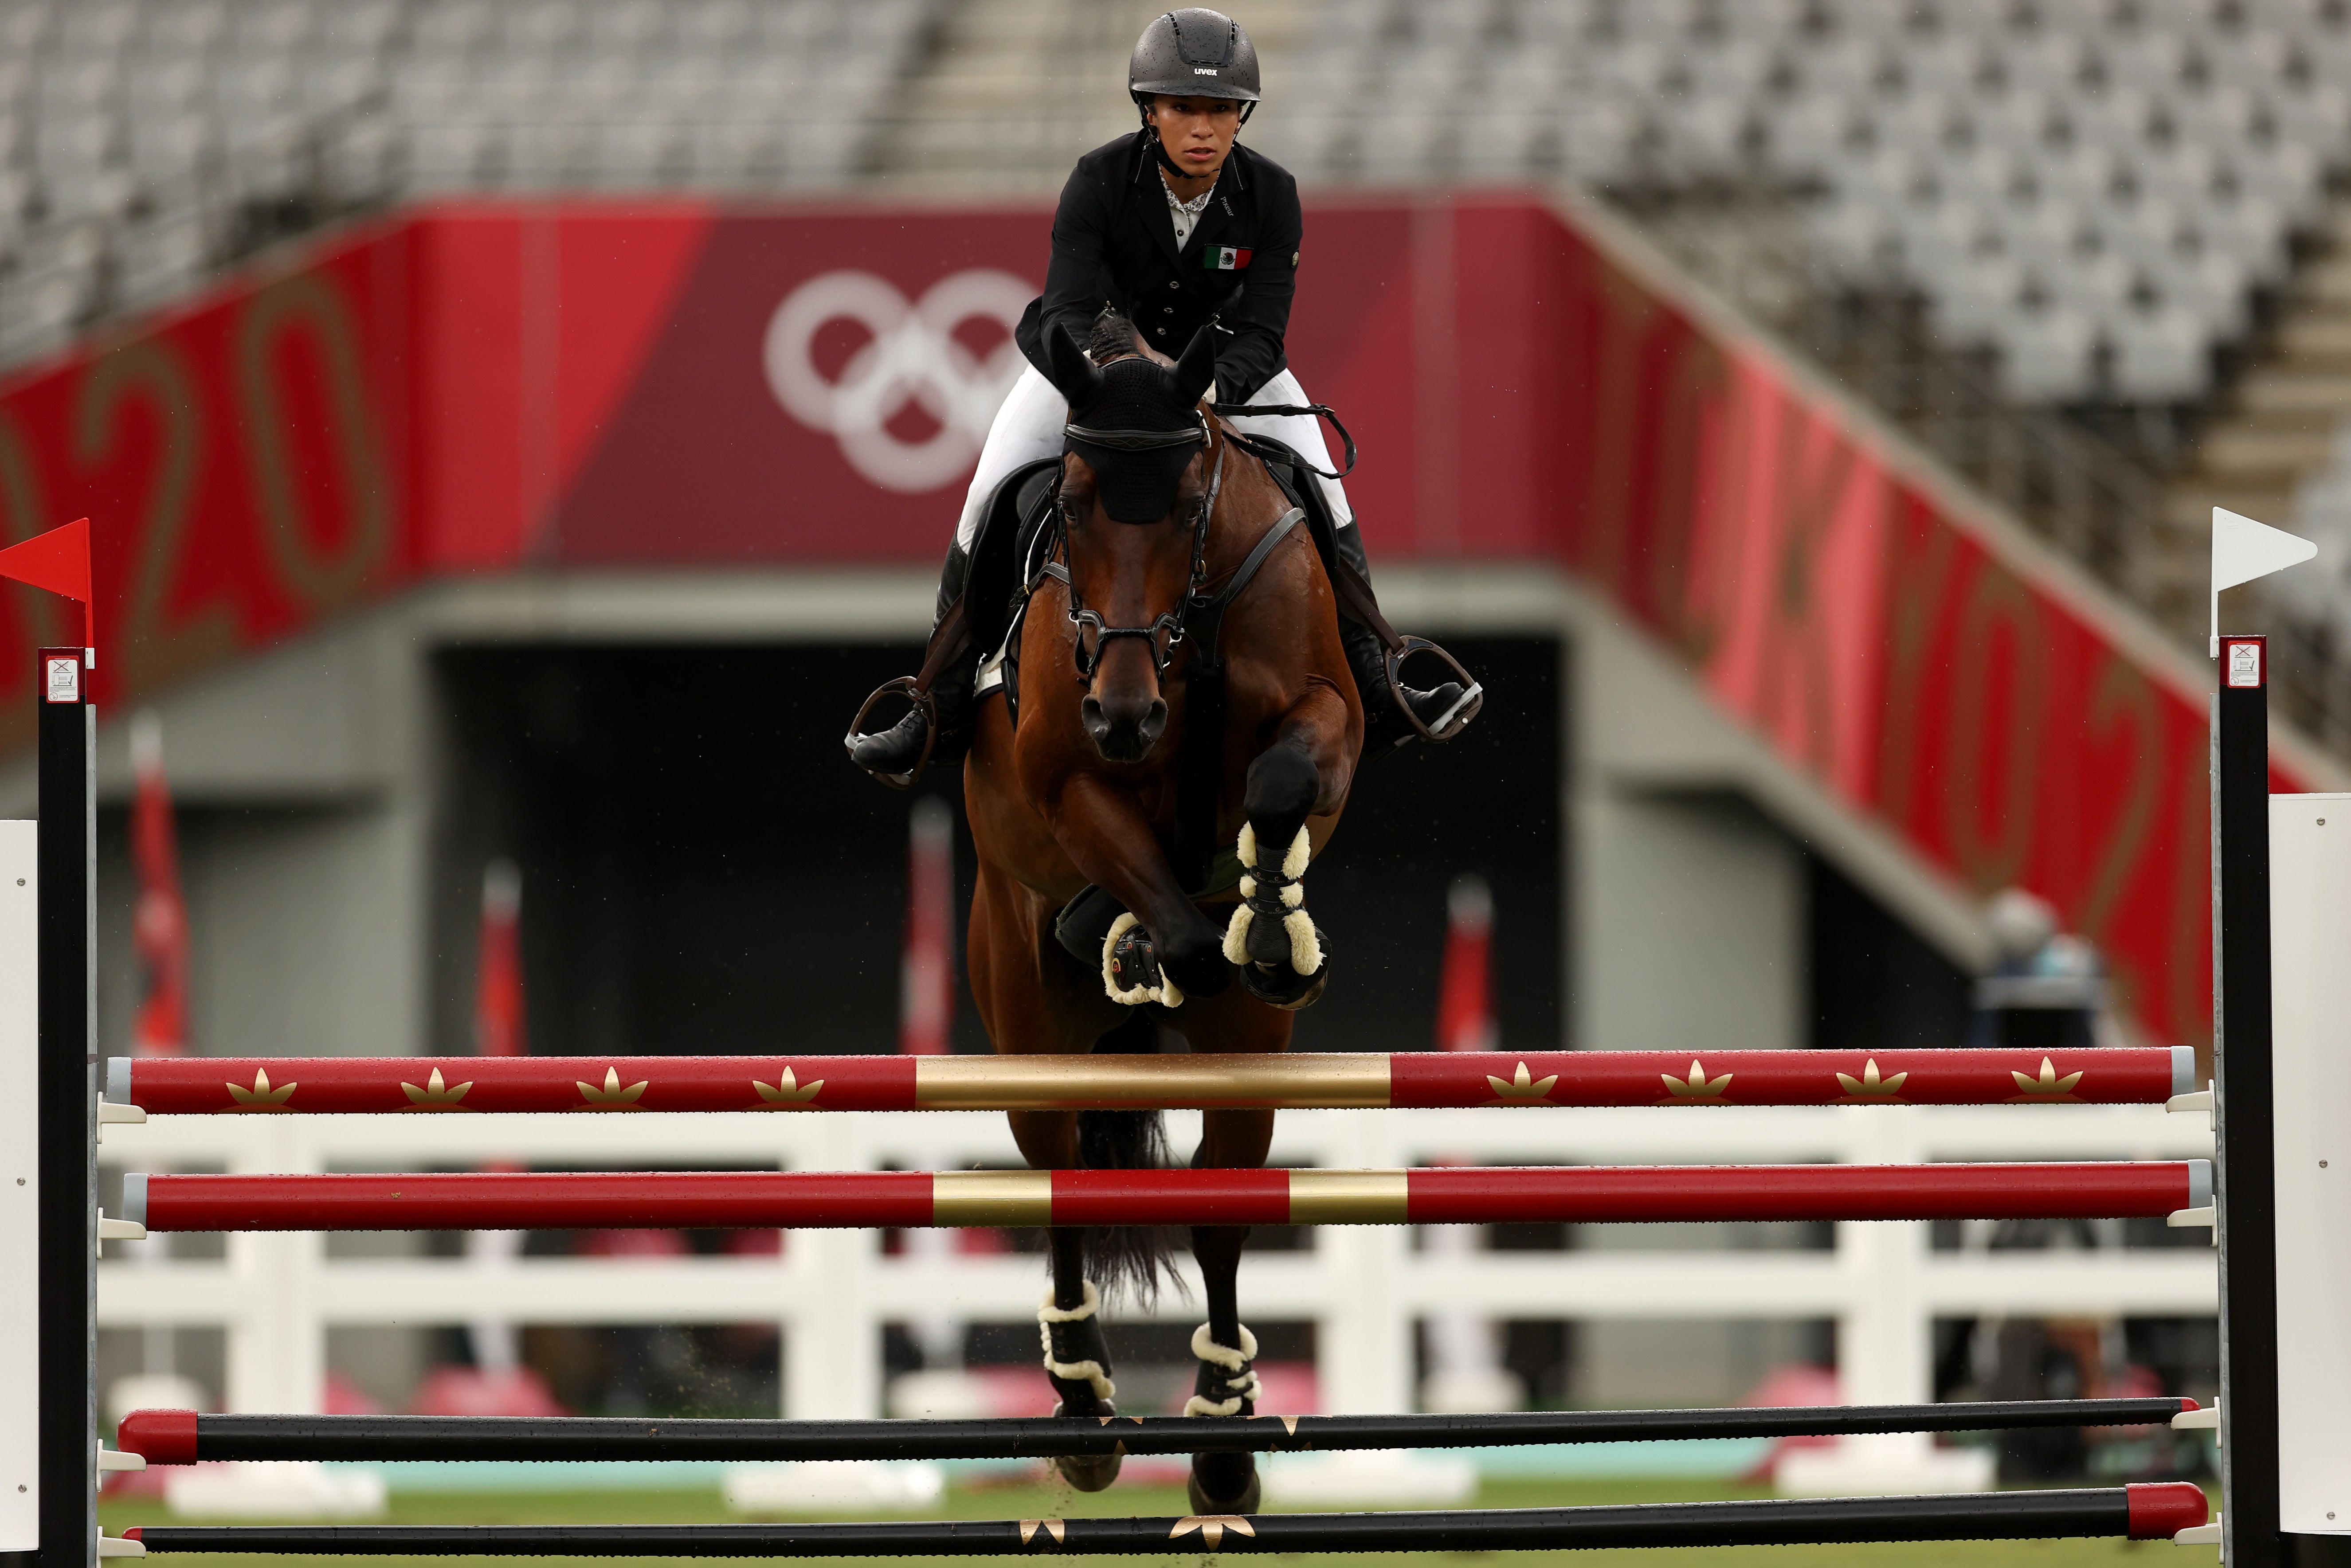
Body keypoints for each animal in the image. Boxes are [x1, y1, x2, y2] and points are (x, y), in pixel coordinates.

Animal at [959, 315, 1364, 1504]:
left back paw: (1224, 1444)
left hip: (1249, 1070)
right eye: (1073, 503)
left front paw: (1275, 931)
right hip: (1025, 1023)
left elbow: (1281, 782)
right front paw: (1158, 939)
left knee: (1221, 1203)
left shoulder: (1330, 715)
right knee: (1057, 1180)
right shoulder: (1067, 778)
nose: (1126, 714)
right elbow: (1168, 910)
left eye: (1187, 504)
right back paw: (1083, 1407)